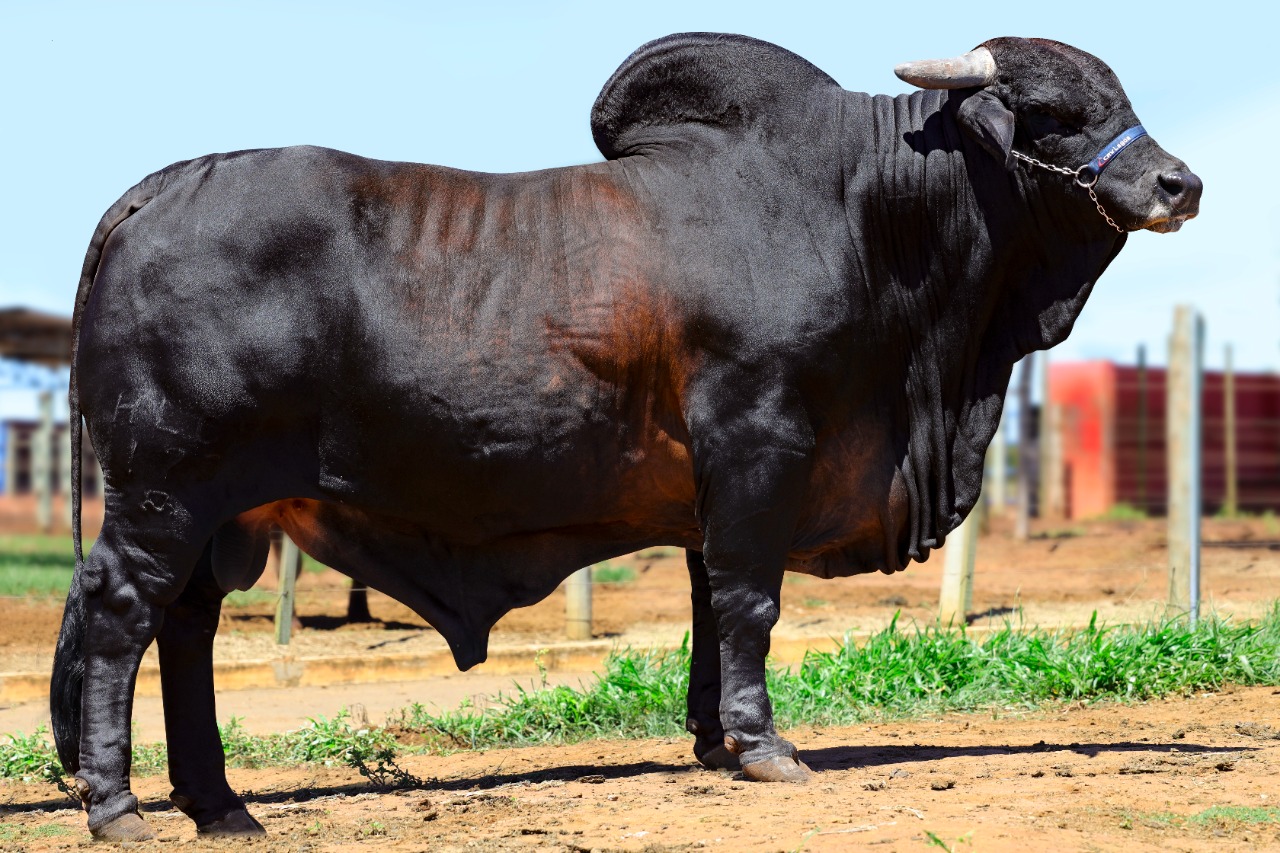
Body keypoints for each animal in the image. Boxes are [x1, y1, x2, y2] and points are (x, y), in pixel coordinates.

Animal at [52, 31, 1198, 835]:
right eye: (1053, 111)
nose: (1176, 183)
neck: (862, 214)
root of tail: (159, 190)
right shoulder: (760, 444)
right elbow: (748, 602)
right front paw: (764, 744)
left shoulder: (712, 486)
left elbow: (705, 605)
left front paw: (710, 739)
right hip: (166, 490)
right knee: (117, 613)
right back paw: (121, 806)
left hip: (220, 511)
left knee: (185, 625)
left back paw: (219, 804)